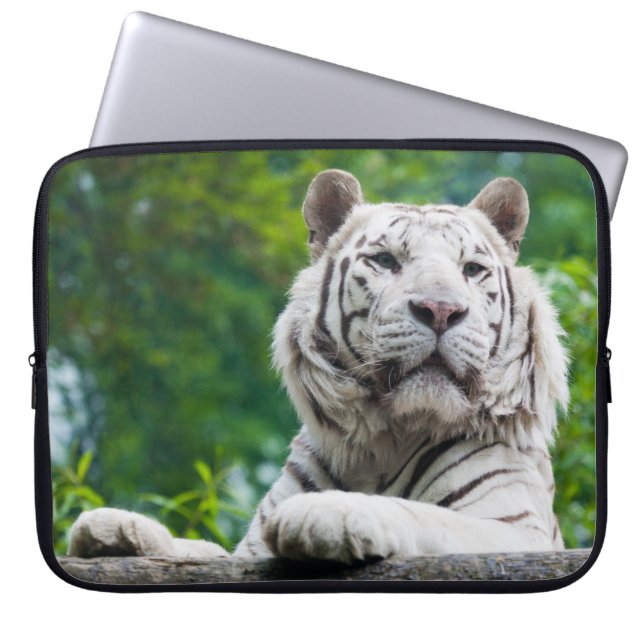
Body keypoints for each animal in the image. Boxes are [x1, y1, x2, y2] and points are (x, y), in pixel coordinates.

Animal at [68, 169, 569, 564]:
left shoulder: (514, 528)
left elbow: (425, 516)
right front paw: (113, 528)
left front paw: (329, 512)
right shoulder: (247, 550)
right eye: (385, 260)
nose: (440, 310)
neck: (383, 441)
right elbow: (204, 549)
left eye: (471, 269)